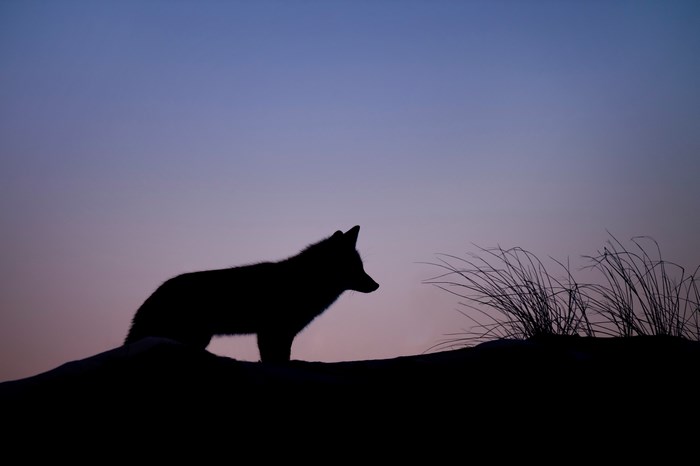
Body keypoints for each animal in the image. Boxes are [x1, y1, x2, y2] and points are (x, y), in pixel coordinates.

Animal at [124, 225, 379, 363]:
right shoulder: (273, 332)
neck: (304, 281)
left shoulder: (279, 333)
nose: (376, 285)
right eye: (355, 268)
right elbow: (276, 360)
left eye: (361, 267)